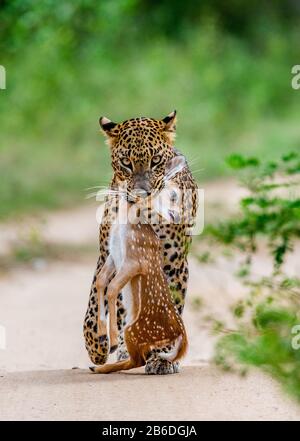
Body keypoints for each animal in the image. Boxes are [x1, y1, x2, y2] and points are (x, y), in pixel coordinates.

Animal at [83, 111, 198, 372]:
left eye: (155, 161)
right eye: (126, 162)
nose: (141, 193)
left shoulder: (174, 264)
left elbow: (169, 308)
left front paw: (162, 357)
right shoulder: (107, 255)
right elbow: (95, 298)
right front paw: (96, 343)